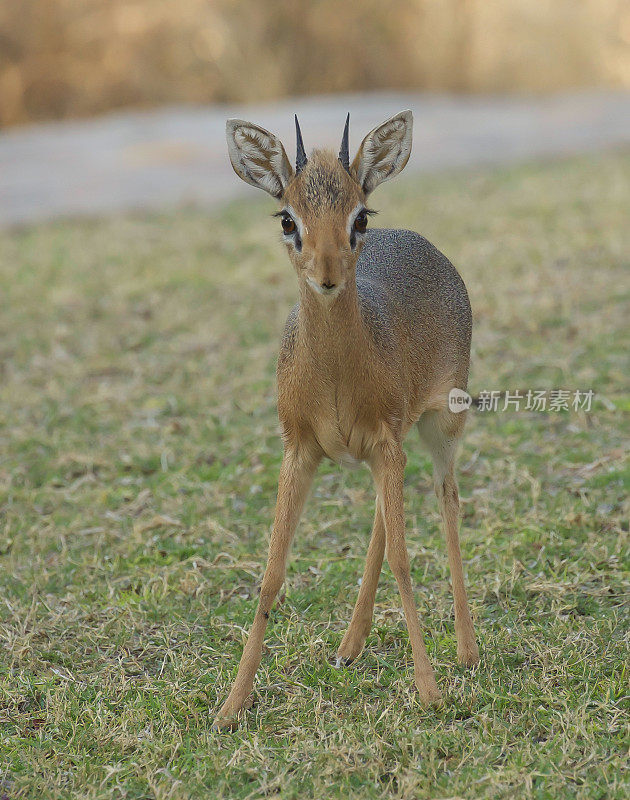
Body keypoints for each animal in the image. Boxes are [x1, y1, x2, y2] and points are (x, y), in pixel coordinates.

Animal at [215, 112, 482, 732]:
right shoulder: (300, 448)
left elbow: (407, 561)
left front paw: (430, 693)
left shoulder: (387, 443)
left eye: (360, 215)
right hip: (393, 445)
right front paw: (231, 706)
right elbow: (271, 571)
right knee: (388, 517)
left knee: (448, 500)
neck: (336, 379)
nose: (328, 273)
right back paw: (348, 646)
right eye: (288, 218)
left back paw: (466, 650)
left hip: (441, 424)